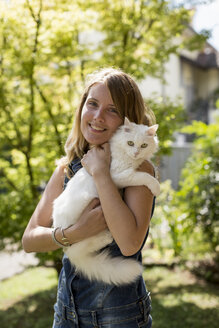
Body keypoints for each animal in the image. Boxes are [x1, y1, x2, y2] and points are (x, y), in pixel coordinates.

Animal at [52, 118, 160, 284]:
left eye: (143, 145)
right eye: (130, 143)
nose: (136, 153)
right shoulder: (119, 176)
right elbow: (143, 176)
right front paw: (156, 187)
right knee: (80, 247)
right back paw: (105, 238)